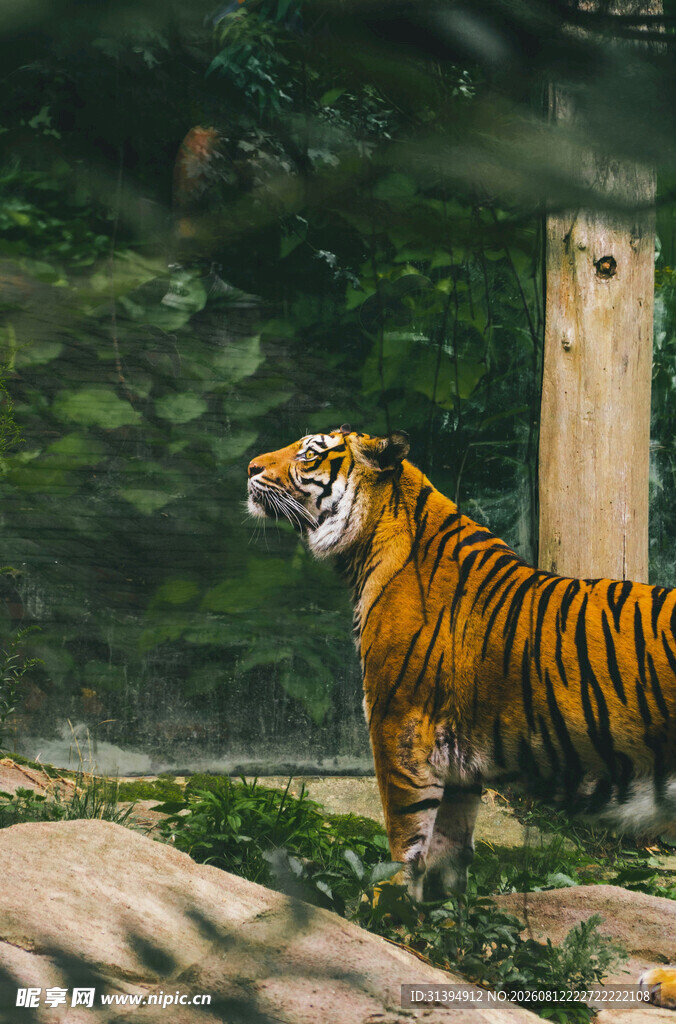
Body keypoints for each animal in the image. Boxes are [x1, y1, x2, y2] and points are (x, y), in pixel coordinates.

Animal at [247, 426, 676, 1007]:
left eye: (310, 452)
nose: (250, 467)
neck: (370, 545)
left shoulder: (398, 729)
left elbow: (405, 839)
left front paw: (386, 913)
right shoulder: (458, 761)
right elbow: (448, 851)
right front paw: (445, 927)